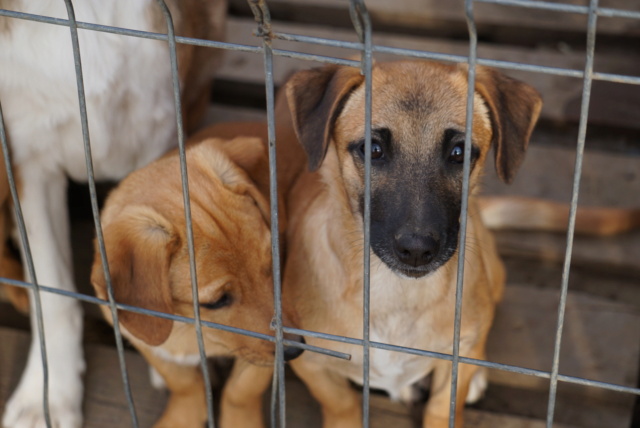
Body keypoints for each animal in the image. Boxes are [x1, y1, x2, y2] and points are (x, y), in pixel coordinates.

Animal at [90, 136, 304, 428]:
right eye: (217, 301)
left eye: (273, 266)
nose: (296, 350)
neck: (188, 327)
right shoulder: (138, 338)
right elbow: (182, 383)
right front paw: (182, 417)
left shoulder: (256, 361)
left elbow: (241, 391)